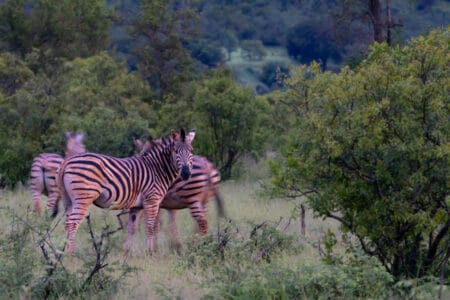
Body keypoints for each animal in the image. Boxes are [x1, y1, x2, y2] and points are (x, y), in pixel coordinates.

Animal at [57, 128, 194, 253]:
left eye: (191, 151)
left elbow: (131, 229)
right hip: (83, 198)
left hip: (68, 200)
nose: (186, 174)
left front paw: (126, 253)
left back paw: (62, 253)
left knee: (67, 222)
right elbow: (150, 227)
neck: (157, 169)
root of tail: (66, 161)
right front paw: (150, 253)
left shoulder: (137, 207)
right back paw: (71, 254)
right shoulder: (152, 200)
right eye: (175, 151)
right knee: (72, 223)